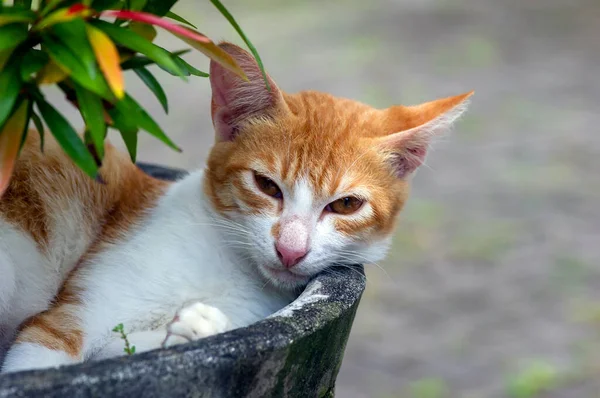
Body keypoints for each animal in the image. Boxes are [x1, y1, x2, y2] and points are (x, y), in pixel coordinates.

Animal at [0, 43, 472, 374]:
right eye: (266, 185)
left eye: (346, 204)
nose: (290, 250)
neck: (231, 268)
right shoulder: (73, 315)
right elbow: (42, 358)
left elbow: (127, 347)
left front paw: (193, 328)